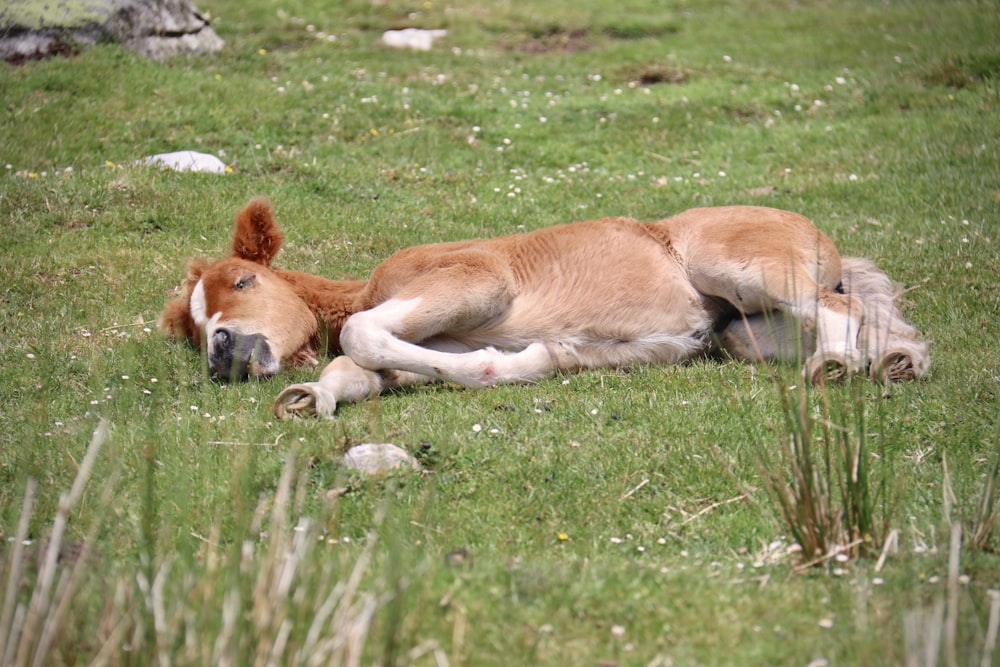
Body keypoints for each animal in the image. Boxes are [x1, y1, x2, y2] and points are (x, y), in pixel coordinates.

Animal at [158, 197, 928, 418]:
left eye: (243, 282)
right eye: (194, 328)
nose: (221, 355)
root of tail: (810, 229)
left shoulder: (475, 282)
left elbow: (358, 332)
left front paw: (503, 365)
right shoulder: (427, 344)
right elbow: (359, 368)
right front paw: (311, 396)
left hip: (745, 270)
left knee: (837, 316)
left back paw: (837, 366)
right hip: (744, 331)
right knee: (869, 318)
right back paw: (898, 361)